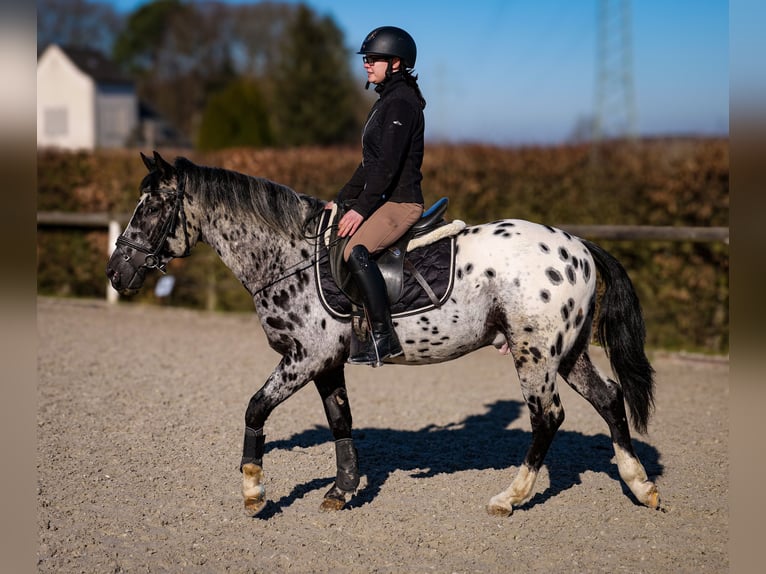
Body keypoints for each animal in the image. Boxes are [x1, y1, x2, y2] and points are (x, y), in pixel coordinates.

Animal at [105, 152, 664, 516]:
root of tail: (580, 246)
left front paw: (253, 492)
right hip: (566, 353)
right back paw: (640, 486)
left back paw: (510, 498)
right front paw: (341, 491)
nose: (116, 273)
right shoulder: (326, 362)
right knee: (609, 399)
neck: (286, 257)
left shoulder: (304, 357)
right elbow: (340, 421)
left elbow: (255, 408)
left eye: (150, 208)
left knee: (548, 417)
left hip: (533, 353)